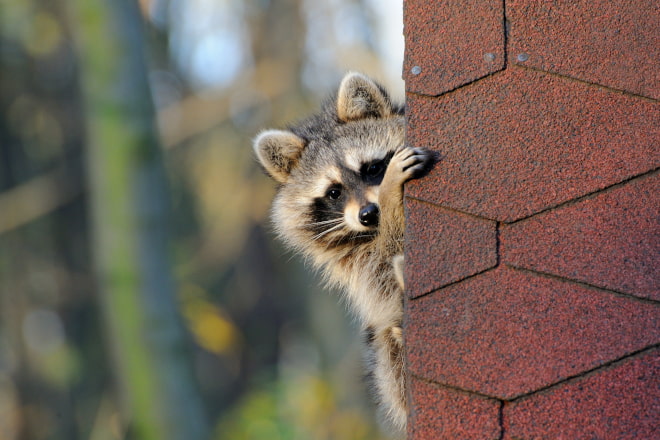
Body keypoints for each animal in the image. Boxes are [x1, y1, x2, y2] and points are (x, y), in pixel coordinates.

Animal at [255, 72, 436, 434]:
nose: (369, 213)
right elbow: (380, 276)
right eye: (334, 192)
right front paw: (392, 198)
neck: (370, 231)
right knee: (388, 352)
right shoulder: (355, 264)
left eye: (372, 168)